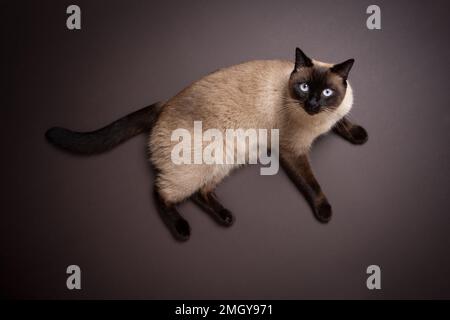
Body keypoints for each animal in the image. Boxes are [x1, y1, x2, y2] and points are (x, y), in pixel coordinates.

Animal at [46, 48, 370, 241]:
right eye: (303, 88)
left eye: (327, 92)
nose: (312, 104)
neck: (319, 121)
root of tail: (164, 104)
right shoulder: (293, 150)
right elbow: (313, 184)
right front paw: (325, 212)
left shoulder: (334, 116)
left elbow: (344, 121)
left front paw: (360, 135)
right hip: (200, 165)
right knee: (160, 191)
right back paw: (183, 230)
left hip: (223, 160)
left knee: (201, 192)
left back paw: (226, 218)